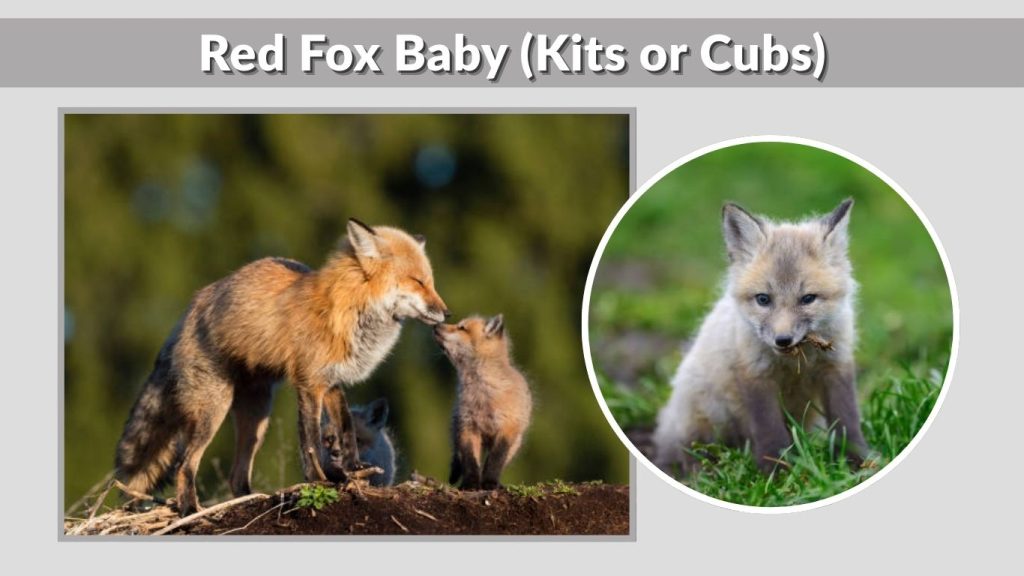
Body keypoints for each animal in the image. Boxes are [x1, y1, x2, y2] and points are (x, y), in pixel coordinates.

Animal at [114, 218, 448, 515]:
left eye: (430, 282)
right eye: (418, 281)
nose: (446, 313)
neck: (348, 310)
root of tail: (190, 309)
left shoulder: (331, 382)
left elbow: (346, 427)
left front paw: (353, 468)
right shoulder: (309, 383)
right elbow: (310, 441)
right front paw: (318, 481)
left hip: (256, 418)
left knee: (236, 477)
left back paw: (248, 501)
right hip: (213, 410)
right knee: (185, 464)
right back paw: (189, 510)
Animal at [433, 315, 532, 490]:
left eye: (462, 328)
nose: (436, 325)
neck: (483, 397)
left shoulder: (506, 428)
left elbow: (495, 461)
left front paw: (489, 483)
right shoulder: (468, 426)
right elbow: (470, 461)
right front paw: (470, 484)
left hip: (514, 443)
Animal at [652, 199, 869, 476]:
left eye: (808, 299)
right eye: (763, 299)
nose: (783, 340)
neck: (795, 363)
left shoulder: (836, 364)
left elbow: (847, 420)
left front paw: (858, 463)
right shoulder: (755, 373)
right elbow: (769, 430)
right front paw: (776, 473)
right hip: (707, 416)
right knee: (691, 450)